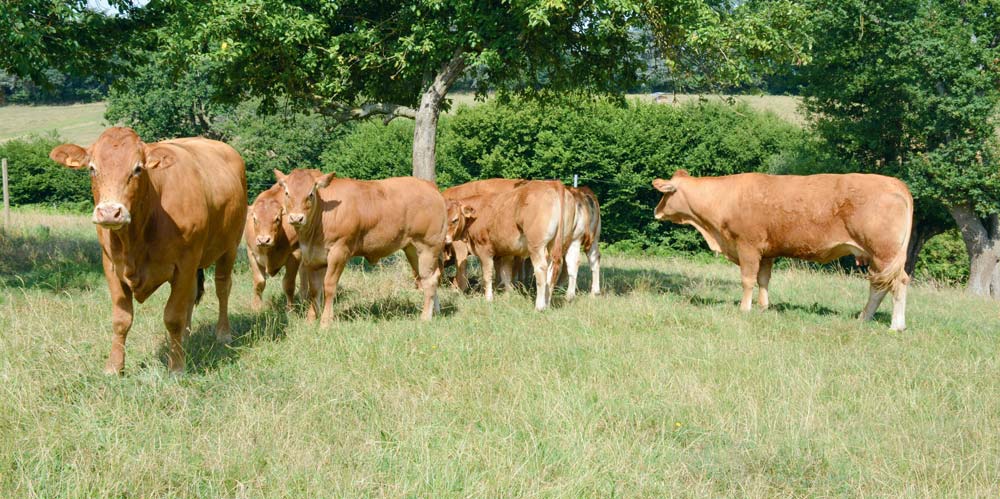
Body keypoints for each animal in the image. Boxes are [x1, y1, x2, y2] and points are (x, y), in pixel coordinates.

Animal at [49, 127, 247, 374]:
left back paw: (223, 333)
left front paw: (176, 366)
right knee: (191, 295)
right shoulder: (111, 266)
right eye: (92, 168)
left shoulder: (184, 263)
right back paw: (187, 336)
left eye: (137, 168)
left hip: (229, 247)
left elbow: (172, 317)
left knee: (222, 288)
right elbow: (121, 319)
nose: (110, 212)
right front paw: (114, 367)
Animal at [244, 182, 310, 310]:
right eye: (254, 219)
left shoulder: (295, 254)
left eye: (277, 219)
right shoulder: (251, 253)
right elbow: (259, 282)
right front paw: (256, 307)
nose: (264, 240)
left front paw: (290, 309)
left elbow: (288, 284)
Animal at [274, 169, 446, 324]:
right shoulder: (312, 256)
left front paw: (325, 321)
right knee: (430, 276)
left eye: (310, 193)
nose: (296, 218)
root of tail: (429, 185)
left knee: (429, 280)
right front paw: (310, 321)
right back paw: (435, 312)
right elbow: (315, 289)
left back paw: (425, 317)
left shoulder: (339, 251)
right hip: (412, 249)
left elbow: (329, 286)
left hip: (428, 246)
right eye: (287, 193)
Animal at [450, 180, 576, 312]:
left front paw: (488, 298)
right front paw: (508, 294)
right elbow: (506, 273)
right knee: (557, 269)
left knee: (541, 269)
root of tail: (554, 183)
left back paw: (539, 306)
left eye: (455, 219)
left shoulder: (484, 249)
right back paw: (547, 303)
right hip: (560, 243)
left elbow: (487, 274)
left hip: (537, 246)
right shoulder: (506, 252)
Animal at [652, 171, 912, 332]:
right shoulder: (767, 252)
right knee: (879, 286)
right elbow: (763, 279)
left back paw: (895, 326)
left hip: (884, 252)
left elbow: (748, 279)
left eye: (666, 193)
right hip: (876, 256)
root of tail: (894, 183)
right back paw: (863, 318)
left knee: (897, 283)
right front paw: (763, 307)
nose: (656, 211)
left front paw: (744, 308)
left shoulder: (748, 245)